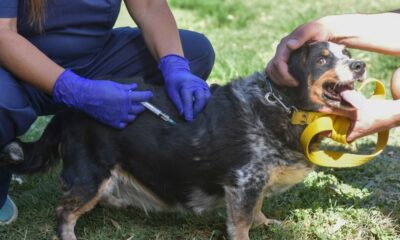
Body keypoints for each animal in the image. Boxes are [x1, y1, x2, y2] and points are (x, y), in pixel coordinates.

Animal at [0, 41, 366, 240]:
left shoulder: (253, 185)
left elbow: (258, 208)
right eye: (322, 59)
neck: (281, 107)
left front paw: (267, 224)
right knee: (64, 211)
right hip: (90, 175)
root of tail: (69, 109)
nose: (361, 64)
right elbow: (242, 221)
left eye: (347, 52)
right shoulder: (244, 182)